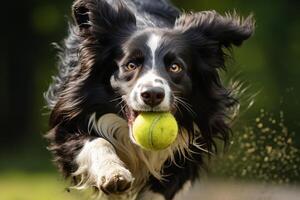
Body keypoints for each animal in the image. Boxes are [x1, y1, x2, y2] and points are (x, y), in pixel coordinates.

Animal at [45, 0, 254, 199]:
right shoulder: (70, 117)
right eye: (130, 65)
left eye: (175, 67)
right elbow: (96, 142)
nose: (152, 94)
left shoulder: (191, 143)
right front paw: (114, 173)